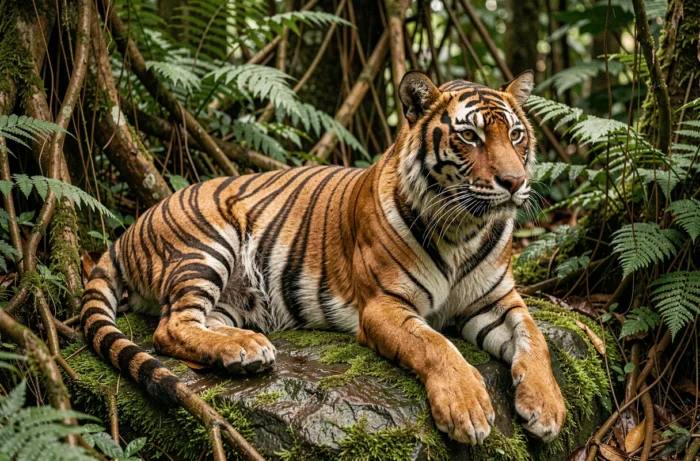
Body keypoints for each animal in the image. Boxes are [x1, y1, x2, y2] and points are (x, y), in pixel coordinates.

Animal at [81, 70, 566, 446]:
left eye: (516, 135)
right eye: (470, 136)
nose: (514, 181)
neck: (465, 229)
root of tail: (127, 229)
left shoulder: (497, 301)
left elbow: (534, 337)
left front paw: (547, 407)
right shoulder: (384, 306)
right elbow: (436, 345)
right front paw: (467, 408)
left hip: (235, 298)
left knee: (198, 323)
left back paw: (246, 348)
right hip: (207, 246)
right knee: (169, 327)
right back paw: (243, 348)